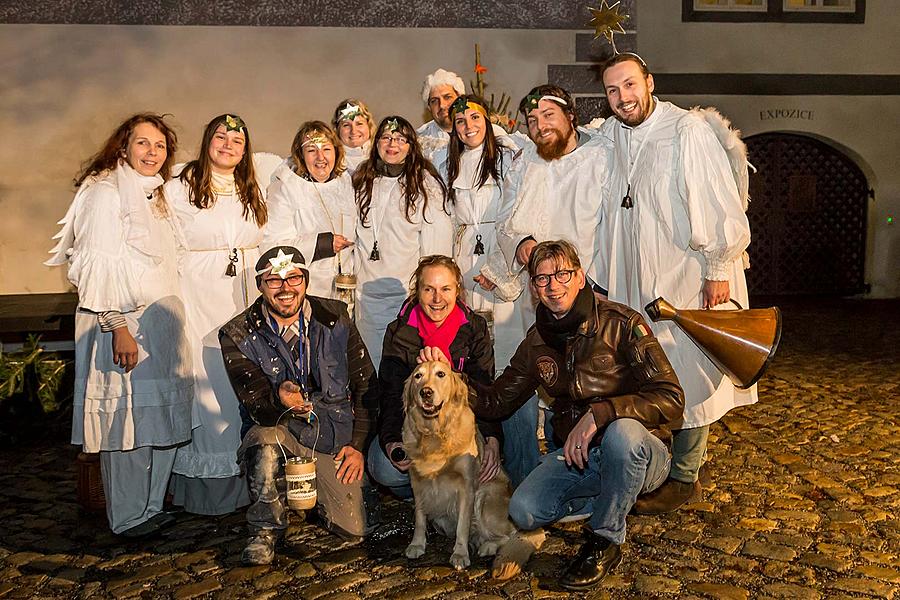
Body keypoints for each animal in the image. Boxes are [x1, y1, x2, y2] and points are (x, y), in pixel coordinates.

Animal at [404, 358, 544, 580]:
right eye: (418, 376)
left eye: (441, 374)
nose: (425, 392)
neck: (435, 434)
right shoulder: (417, 482)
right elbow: (419, 517)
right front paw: (417, 544)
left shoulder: (467, 487)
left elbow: (462, 524)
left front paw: (460, 554)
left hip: (485, 498)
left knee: (513, 534)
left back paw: (488, 546)